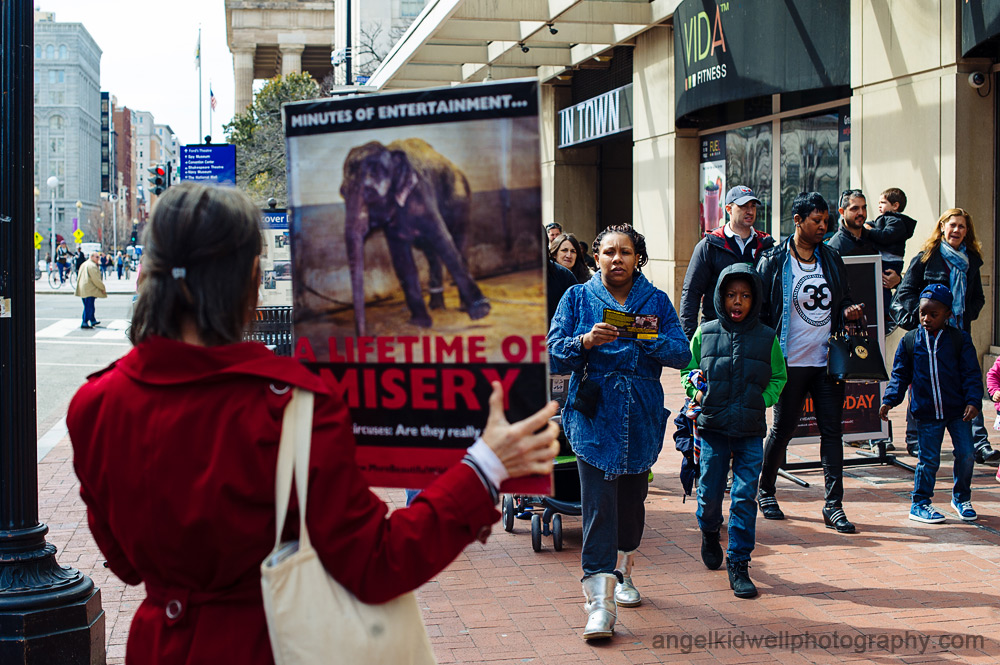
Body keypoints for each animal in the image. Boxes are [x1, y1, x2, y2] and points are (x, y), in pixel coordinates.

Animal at [338, 137, 490, 334]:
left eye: (370, 192)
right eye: (342, 192)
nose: (362, 336)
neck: (390, 152)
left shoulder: (422, 196)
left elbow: (444, 242)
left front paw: (481, 312)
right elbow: (401, 259)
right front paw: (419, 322)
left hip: (461, 201)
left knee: (458, 243)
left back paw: (462, 308)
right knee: (431, 254)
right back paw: (436, 307)